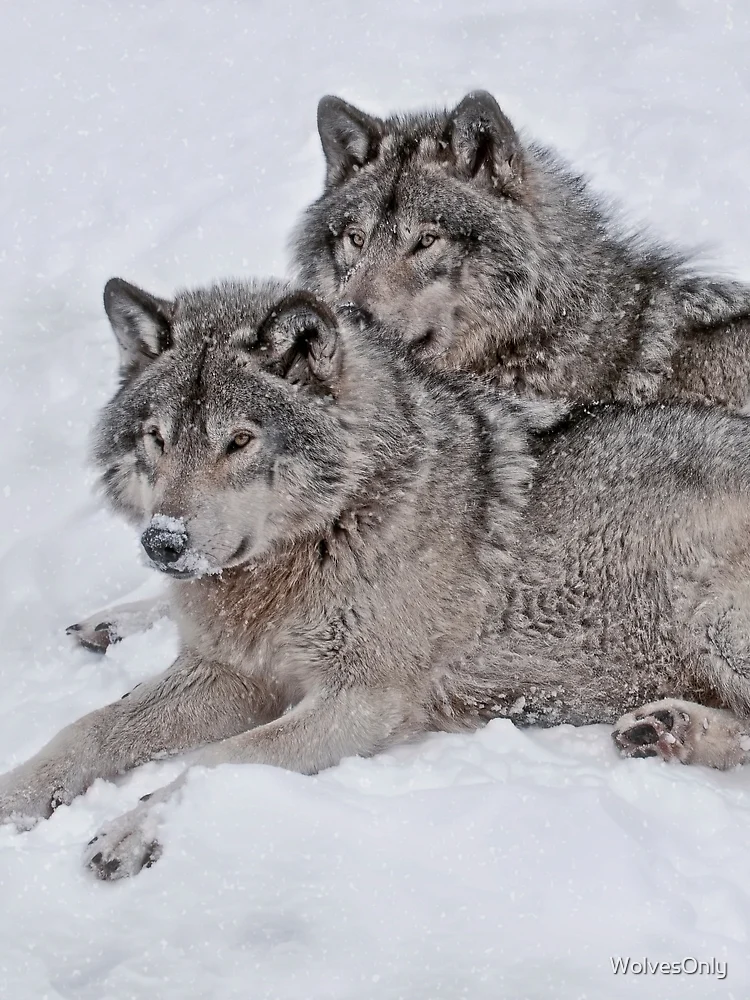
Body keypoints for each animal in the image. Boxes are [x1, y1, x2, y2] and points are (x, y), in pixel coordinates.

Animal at [5, 276, 750, 880]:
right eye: (157, 438)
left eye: (239, 441)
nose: (164, 542)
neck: (323, 537)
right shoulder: (229, 673)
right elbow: (90, 730)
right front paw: (14, 796)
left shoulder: (358, 702)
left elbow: (216, 762)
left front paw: (133, 828)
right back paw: (664, 729)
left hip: (712, 617)